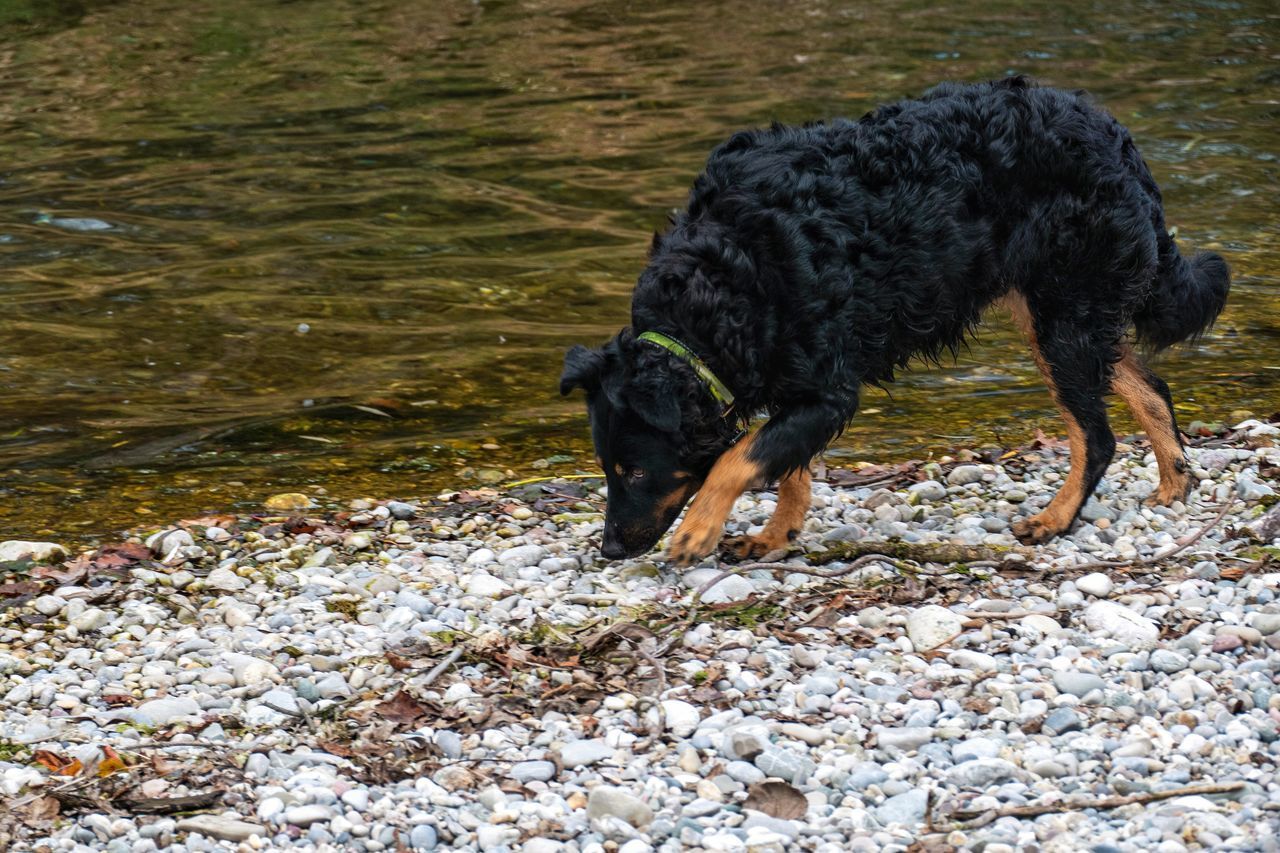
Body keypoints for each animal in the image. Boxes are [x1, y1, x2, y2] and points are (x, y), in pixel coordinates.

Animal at [558, 76, 1228, 560]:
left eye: (634, 470)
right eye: (606, 469)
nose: (609, 549)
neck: (724, 282)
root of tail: (1117, 138)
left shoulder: (828, 388)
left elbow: (739, 457)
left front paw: (698, 529)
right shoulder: (798, 387)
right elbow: (786, 466)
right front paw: (777, 536)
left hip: (1062, 317)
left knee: (1097, 435)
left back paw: (1054, 520)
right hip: (1059, 313)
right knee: (1150, 387)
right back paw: (1174, 482)